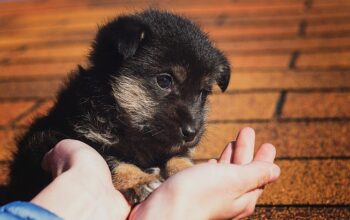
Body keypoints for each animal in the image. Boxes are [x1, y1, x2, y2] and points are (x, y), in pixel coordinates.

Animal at [6, 8, 230, 205]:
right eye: (164, 81)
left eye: (203, 93)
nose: (192, 133)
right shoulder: (57, 138)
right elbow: (110, 160)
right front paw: (141, 181)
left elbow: (177, 157)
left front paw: (188, 170)